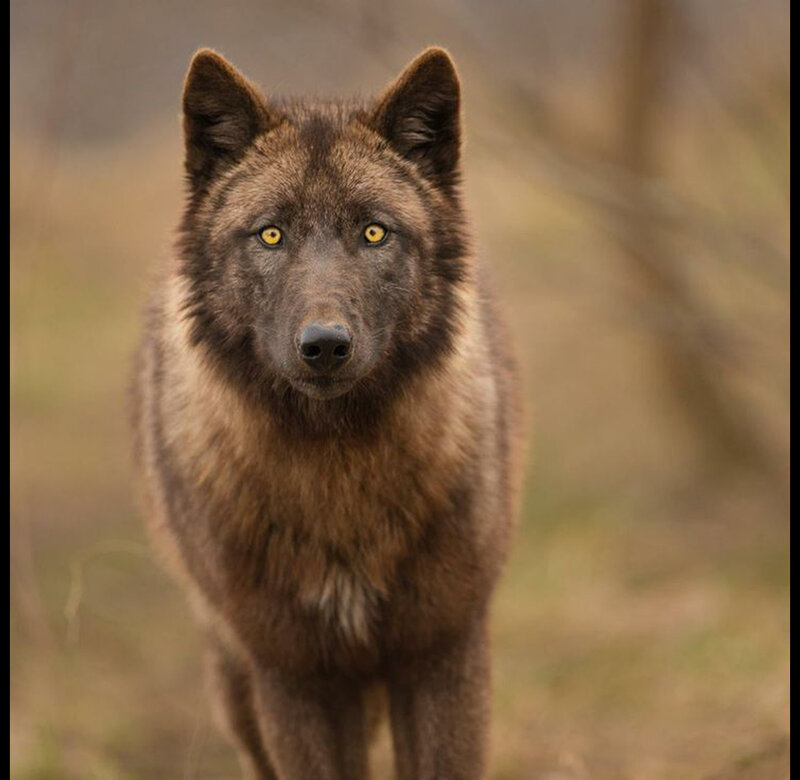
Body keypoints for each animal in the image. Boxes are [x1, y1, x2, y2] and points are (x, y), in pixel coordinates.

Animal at [131, 46, 523, 779]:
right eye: (271, 235)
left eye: (373, 232)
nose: (324, 346)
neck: (339, 481)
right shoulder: (294, 676)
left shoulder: (443, 655)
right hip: (237, 686)